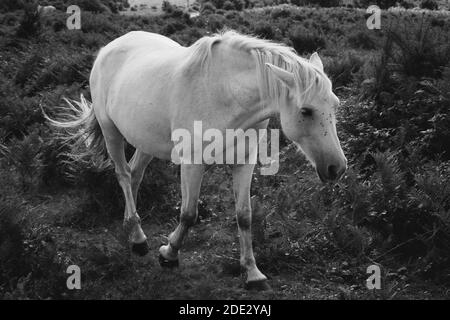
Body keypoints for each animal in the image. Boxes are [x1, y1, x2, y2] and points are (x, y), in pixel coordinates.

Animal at [46, 30, 348, 290]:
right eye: (306, 111)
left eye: (335, 105)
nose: (337, 168)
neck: (225, 95)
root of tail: (109, 48)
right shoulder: (192, 163)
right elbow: (189, 214)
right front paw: (169, 254)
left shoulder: (244, 162)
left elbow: (244, 216)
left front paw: (252, 273)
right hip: (111, 131)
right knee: (122, 174)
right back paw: (140, 238)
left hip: (145, 141)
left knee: (135, 175)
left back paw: (132, 231)